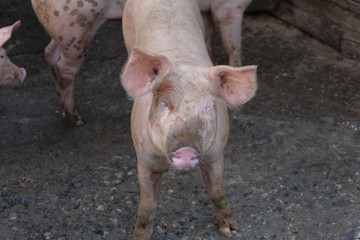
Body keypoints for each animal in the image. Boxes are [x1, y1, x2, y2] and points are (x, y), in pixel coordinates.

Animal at [122, 0, 258, 238]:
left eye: (208, 106)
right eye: (165, 104)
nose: (186, 149)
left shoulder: (215, 154)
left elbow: (217, 191)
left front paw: (230, 230)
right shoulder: (144, 160)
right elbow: (148, 205)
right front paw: (139, 236)